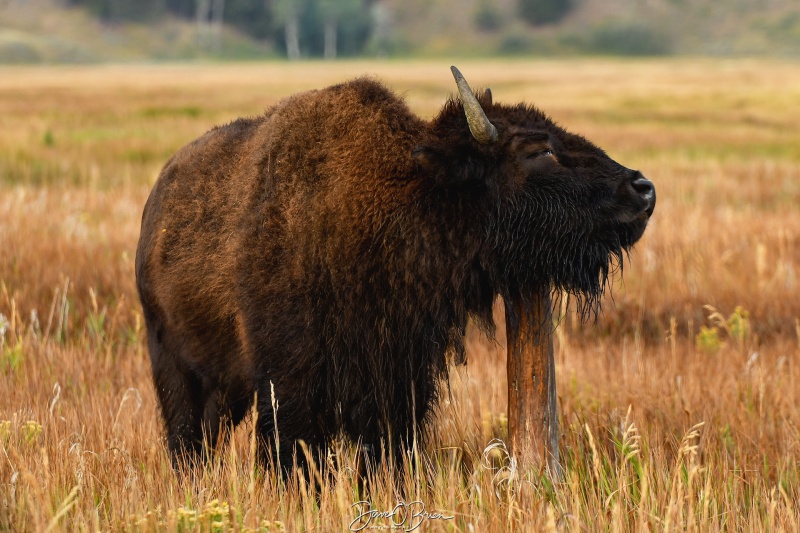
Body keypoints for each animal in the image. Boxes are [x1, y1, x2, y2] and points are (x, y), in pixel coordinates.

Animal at [134, 65, 652, 470]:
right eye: (538, 151)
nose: (642, 188)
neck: (405, 195)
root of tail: (155, 203)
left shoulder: (399, 384)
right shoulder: (291, 390)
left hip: (226, 388)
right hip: (175, 372)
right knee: (187, 442)